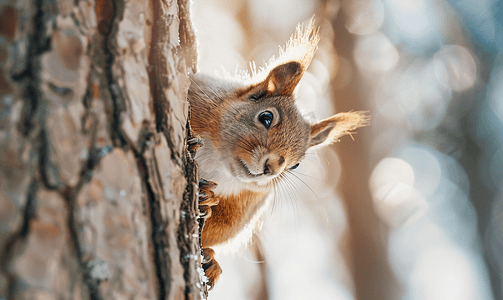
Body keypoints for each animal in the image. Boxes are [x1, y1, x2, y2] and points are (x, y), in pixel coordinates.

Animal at [187, 18, 368, 290]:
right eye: (266, 117)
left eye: (295, 166)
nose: (272, 167)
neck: (217, 162)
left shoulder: (243, 205)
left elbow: (214, 233)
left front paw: (204, 203)